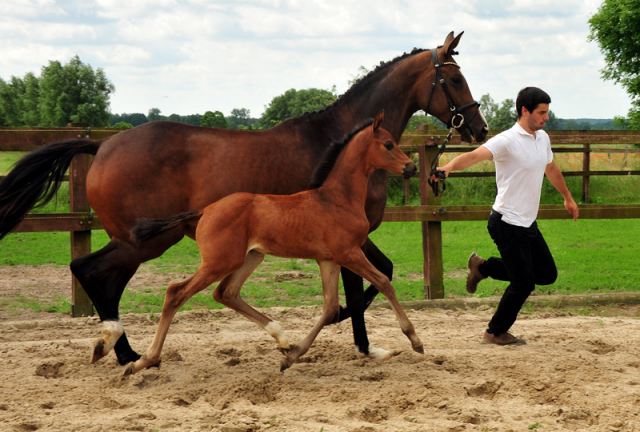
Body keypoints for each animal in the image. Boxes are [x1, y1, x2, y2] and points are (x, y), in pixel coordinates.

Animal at [125, 112, 424, 374]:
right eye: (389, 144)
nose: (412, 167)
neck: (338, 198)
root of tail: (205, 210)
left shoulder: (328, 259)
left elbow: (329, 308)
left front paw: (291, 357)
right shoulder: (348, 253)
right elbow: (384, 282)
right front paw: (415, 340)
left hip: (251, 257)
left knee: (226, 293)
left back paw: (281, 338)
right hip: (220, 262)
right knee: (176, 293)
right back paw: (142, 361)